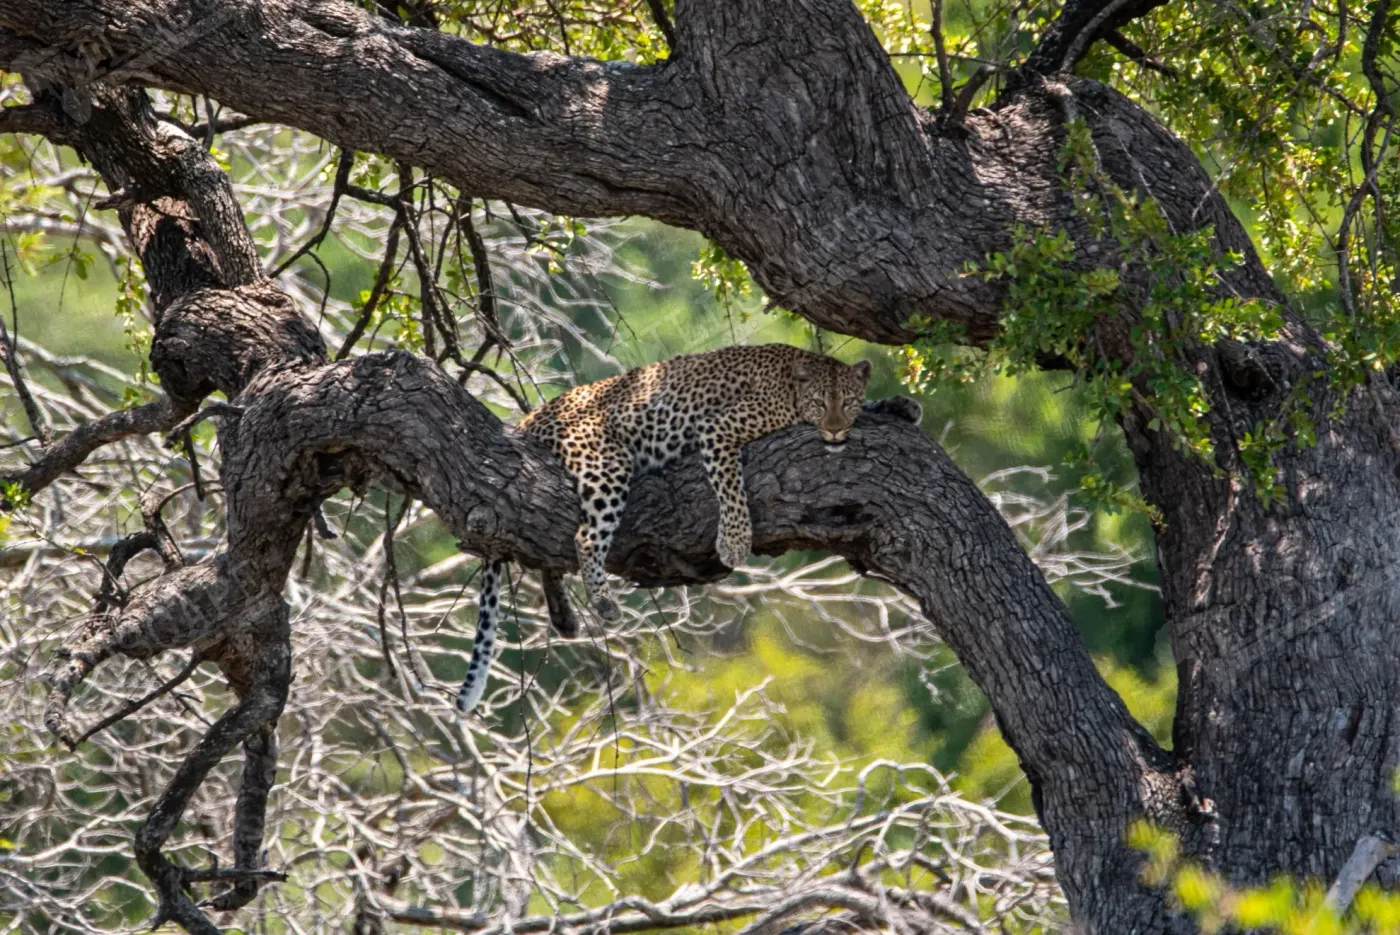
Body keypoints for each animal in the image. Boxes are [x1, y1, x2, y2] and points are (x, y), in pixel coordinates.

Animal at [456, 343, 922, 714]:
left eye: (848, 400)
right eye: (820, 402)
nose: (836, 430)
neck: (793, 384)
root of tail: (530, 417)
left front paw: (900, 405)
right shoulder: (719, 429)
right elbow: (730, 486)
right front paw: (734, 541)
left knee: (548, 551)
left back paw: (565, 618)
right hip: (606, 462)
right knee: (582, 537)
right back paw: (603, 603)